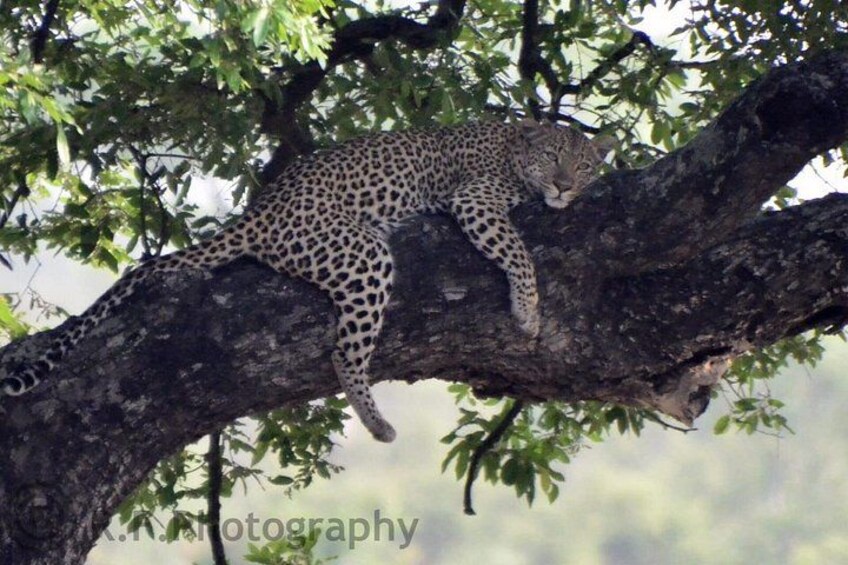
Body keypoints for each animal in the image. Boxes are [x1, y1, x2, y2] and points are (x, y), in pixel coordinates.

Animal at [0, 119, 613, 443]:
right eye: (553, 159)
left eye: (582, 166)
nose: (564, 187)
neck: (512, 149)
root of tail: (262, 209)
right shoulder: (476, 200)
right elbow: (520, 253)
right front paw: (528, 312)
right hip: (363, 254)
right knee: (344, 352)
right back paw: (378, 423)